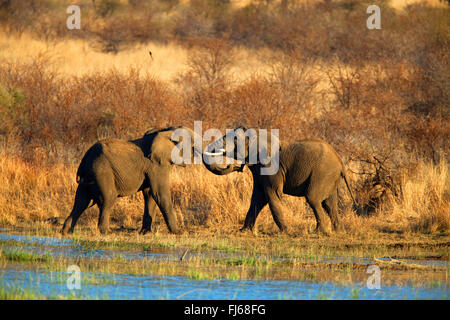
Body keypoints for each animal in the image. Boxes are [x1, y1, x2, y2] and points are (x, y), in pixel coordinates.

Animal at [60, 125, 204, 235]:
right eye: (192, 145)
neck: (165, 131)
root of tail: (85, 158)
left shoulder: (152, 168)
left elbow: (150, 194)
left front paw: (145, 233)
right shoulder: (157, 165)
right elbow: (160, 194)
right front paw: (178, 232)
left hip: (89, 177)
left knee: (82, 202)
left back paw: (66, 232)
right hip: (101, 171)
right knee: (108, 198)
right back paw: (106, 232)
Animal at [203, 127, 356, 235]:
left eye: (234, 140)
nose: (234, 166)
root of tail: (340, 162)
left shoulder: (272, 168)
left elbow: (272, 195)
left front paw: (287, 232)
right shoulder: (259, 169)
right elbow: (257, 198)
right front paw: (244, 231)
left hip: (323, 173)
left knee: (313, 198)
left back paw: (319, 232)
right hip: (329, 176)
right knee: (330, 203)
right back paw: (339, 232)